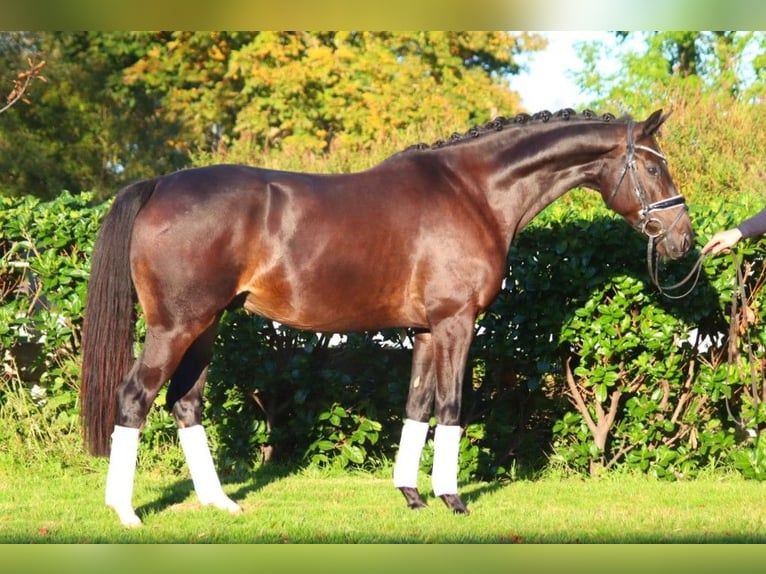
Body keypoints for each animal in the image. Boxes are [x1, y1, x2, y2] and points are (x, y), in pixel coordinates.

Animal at [78, 107, 696, 528]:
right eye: (652, 168)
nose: (683, 240)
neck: (474, 192)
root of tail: (160, 183)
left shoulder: (423, 330)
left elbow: (417, 406)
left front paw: (412, 495)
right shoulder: (456, 323)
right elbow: (450, 407)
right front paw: (452, 498)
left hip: (207, 326)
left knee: (186, 402)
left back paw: (219, 502)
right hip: (175, 327)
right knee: (134, 397)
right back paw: (125, 512)